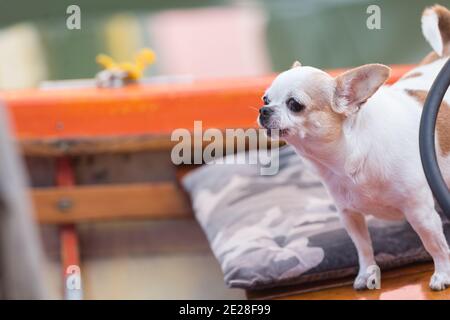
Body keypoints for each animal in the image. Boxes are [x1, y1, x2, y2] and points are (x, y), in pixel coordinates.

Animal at [258, 4, 450, 290]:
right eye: (265, 99)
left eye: (295, 104)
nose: (263, 110)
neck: (345, 159)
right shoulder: (349, 215)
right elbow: (363, 247)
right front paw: (367, 274)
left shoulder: (420, 212)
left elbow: (434, 244)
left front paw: (443, 273)